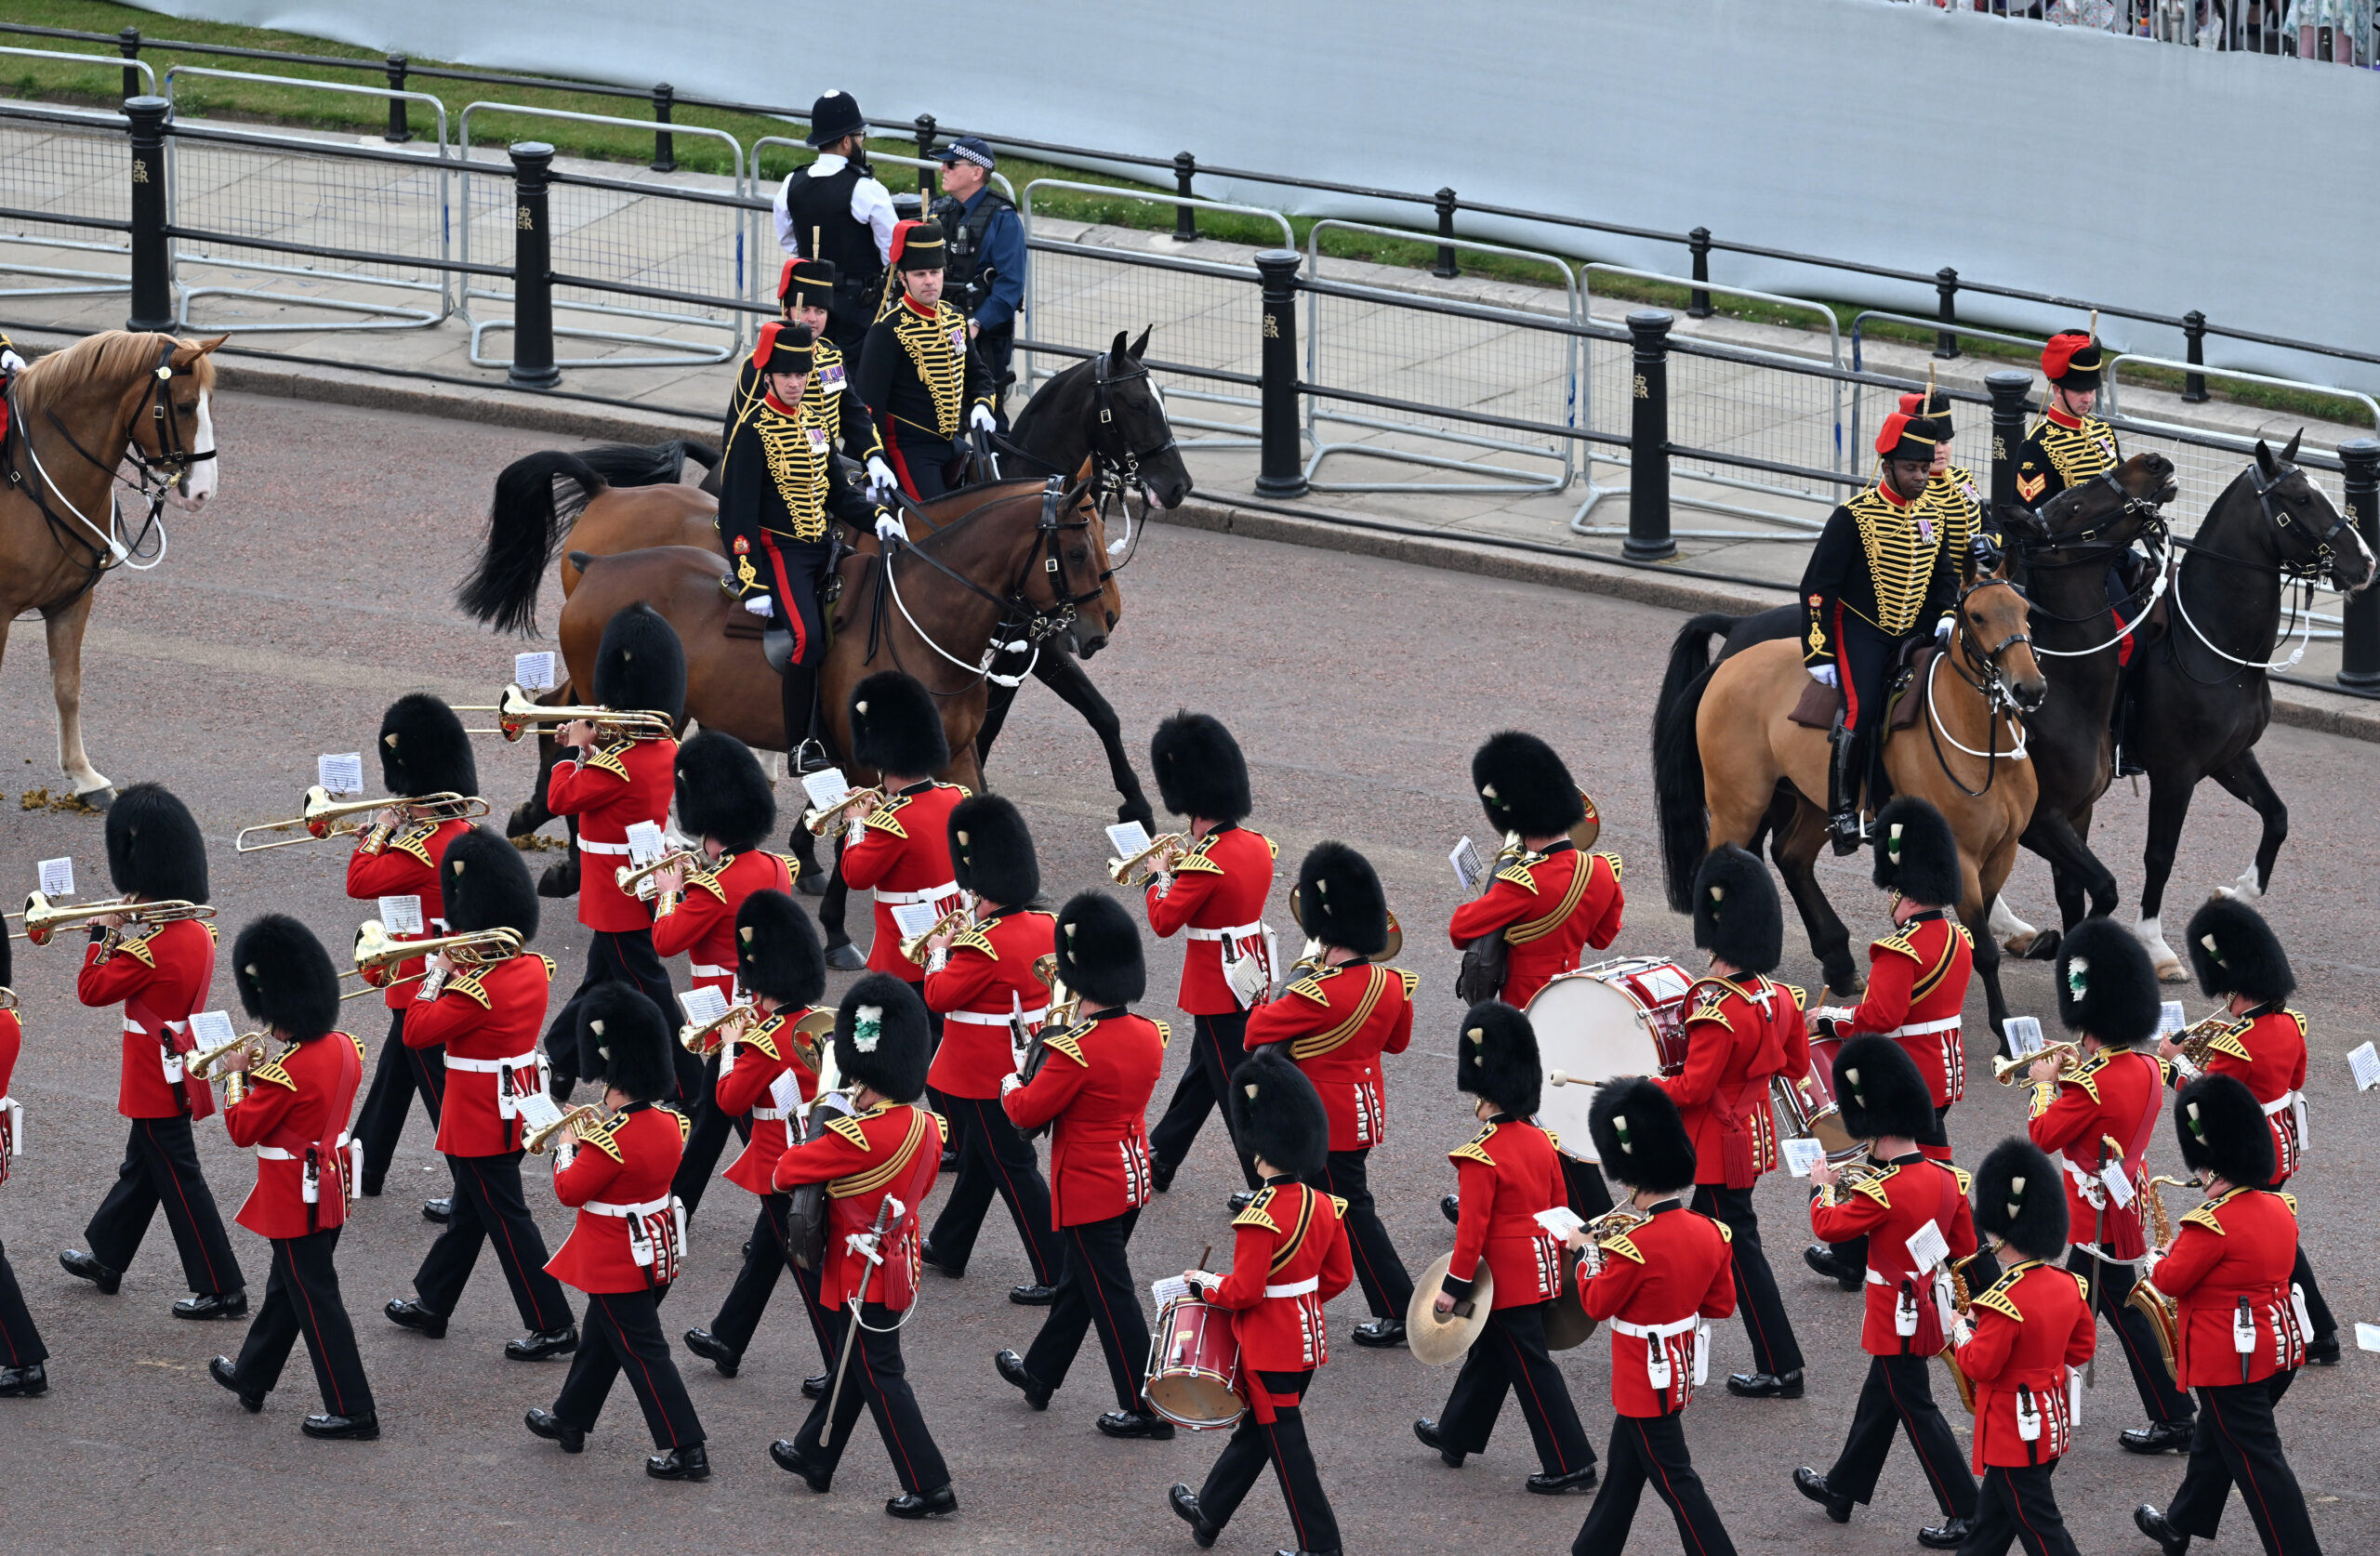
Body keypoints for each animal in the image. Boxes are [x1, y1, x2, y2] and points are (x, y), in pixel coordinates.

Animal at [0, 333, 224, 809]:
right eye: (182, 406)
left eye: (210, 402)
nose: (202, 493)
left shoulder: (71, 602)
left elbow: (67, 687)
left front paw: (84, 777)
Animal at [1656, 551, 2046, 1047]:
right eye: (1977, 616)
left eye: (2026, 609)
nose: (2029, 688)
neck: (1981, 742)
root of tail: (1728, 664)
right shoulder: (1962, 855)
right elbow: (1985, 948)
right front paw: (2004, 1031)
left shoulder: (2002, 852)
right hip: (1738, 805)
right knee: (1725, 867)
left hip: (1812, 800)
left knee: (1791, 856)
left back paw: (1838, 964)